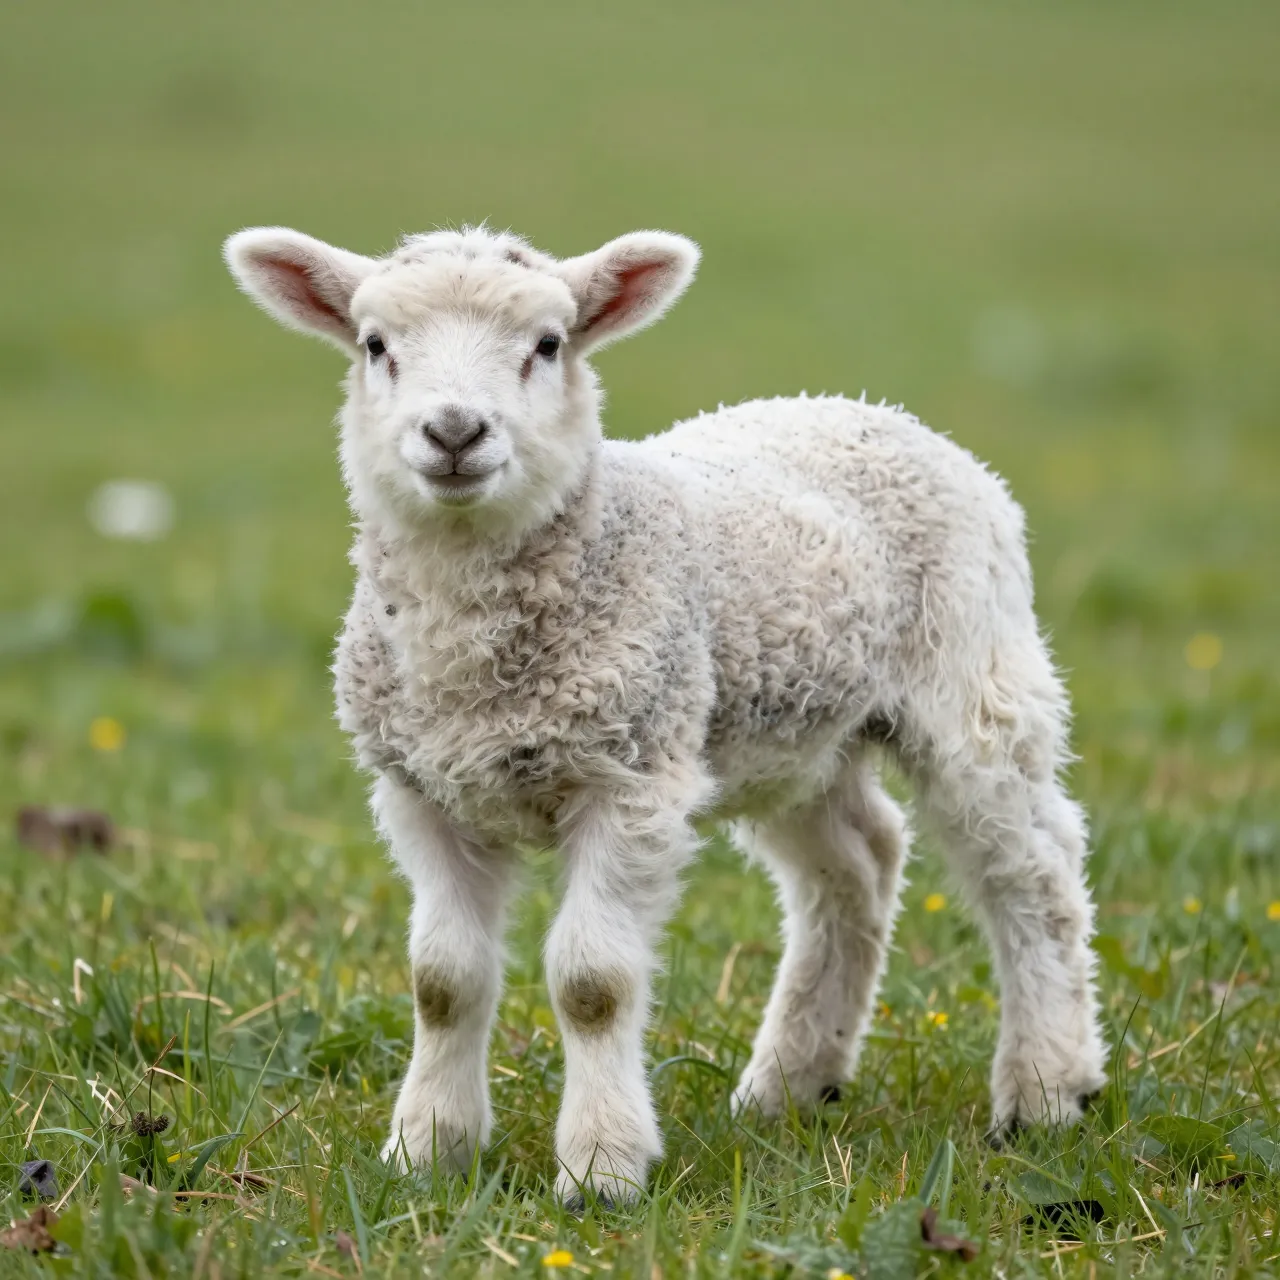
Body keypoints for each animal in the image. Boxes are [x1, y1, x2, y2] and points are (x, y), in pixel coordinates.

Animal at [223, 222, 1108, 1207]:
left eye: (548, 345)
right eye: (376, 345)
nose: (454, 431)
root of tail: (868, 408)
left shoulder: (633, 778)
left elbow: (593, 984)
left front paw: (601, 1168)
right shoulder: (422, 791)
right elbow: (443, 981)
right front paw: (428, 1152)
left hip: (974, 679)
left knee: (1033, 873)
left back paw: (1045, 1088)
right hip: (790, 733)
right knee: (857, 863)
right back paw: (794, 1080)